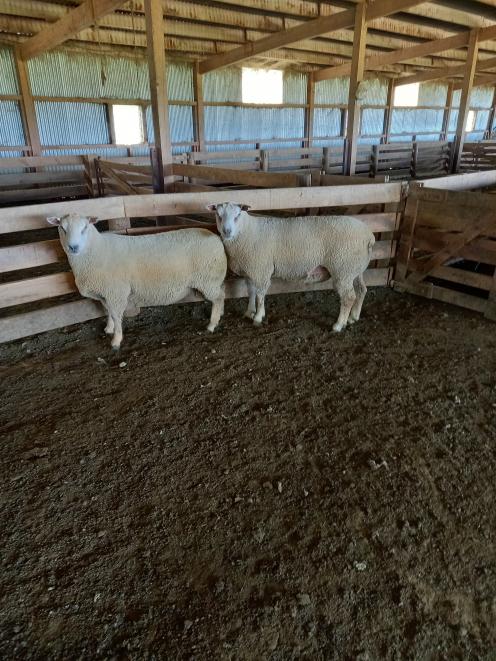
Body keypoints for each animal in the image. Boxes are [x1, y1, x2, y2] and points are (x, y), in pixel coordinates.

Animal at [47, 213, 227, 350]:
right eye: (62, 228)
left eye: (84, 228)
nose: (73, 247)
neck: (96, 250)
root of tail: (216, 237)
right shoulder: (105, 294)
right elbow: (108, 312)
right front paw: (109, 328)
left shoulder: (116, 292)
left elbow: (116, 315)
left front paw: (116, 341)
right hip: (213, 280)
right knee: (222, 293)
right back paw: (220, 314)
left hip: (208, 280)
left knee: (218, 298)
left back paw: (212, 324)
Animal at [207, 202, 375, 332]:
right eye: (218, 215)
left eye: (237, 215)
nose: (227, 231)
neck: (247, 231)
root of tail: (369, 236)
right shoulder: (251, 270)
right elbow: (251, 292)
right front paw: (249, 312)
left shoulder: (261, 270)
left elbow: (260, 295)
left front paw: (258, 317)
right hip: (354, 270)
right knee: (361, 290)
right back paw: (353, 317)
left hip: (343, 268)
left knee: (348, 297)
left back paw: (339, 325)